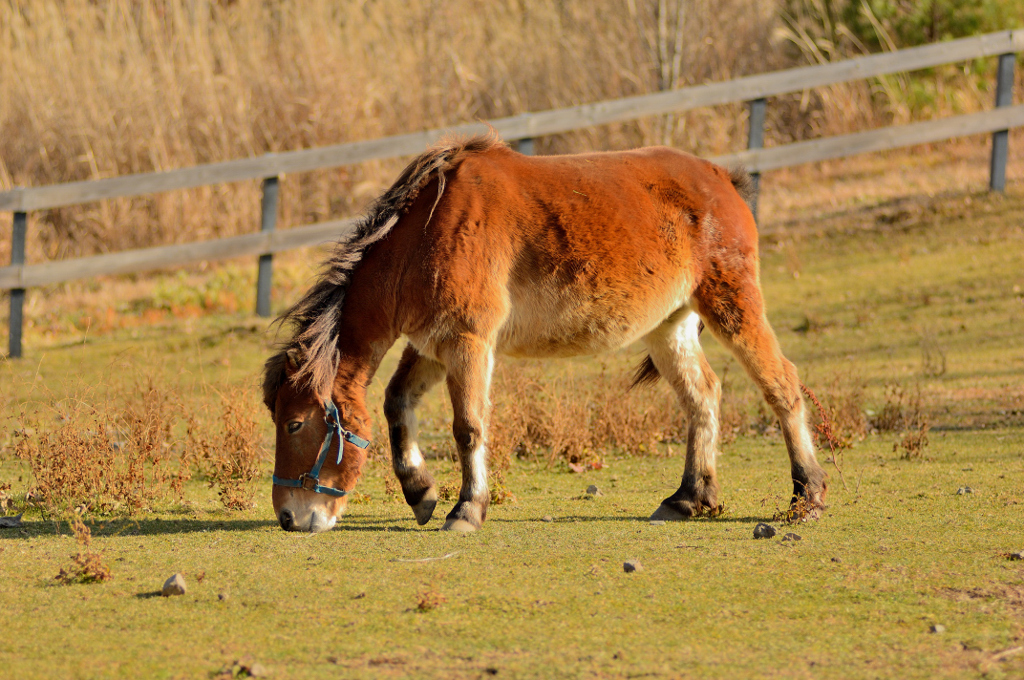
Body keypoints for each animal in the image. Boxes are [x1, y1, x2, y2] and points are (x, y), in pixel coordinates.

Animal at [260, 133, 827, 532]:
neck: (425, 234)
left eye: (294, 424)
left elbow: (469, 428)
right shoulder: (433, 345)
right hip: (670, 329)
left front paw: (467, 509)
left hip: (733, 308)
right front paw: (421, 492)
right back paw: (689, 499)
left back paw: (808, 495)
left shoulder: (468, 342)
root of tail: (722, 178)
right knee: (703, 397)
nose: (289, 517)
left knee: (781, 386)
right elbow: (397, 404)